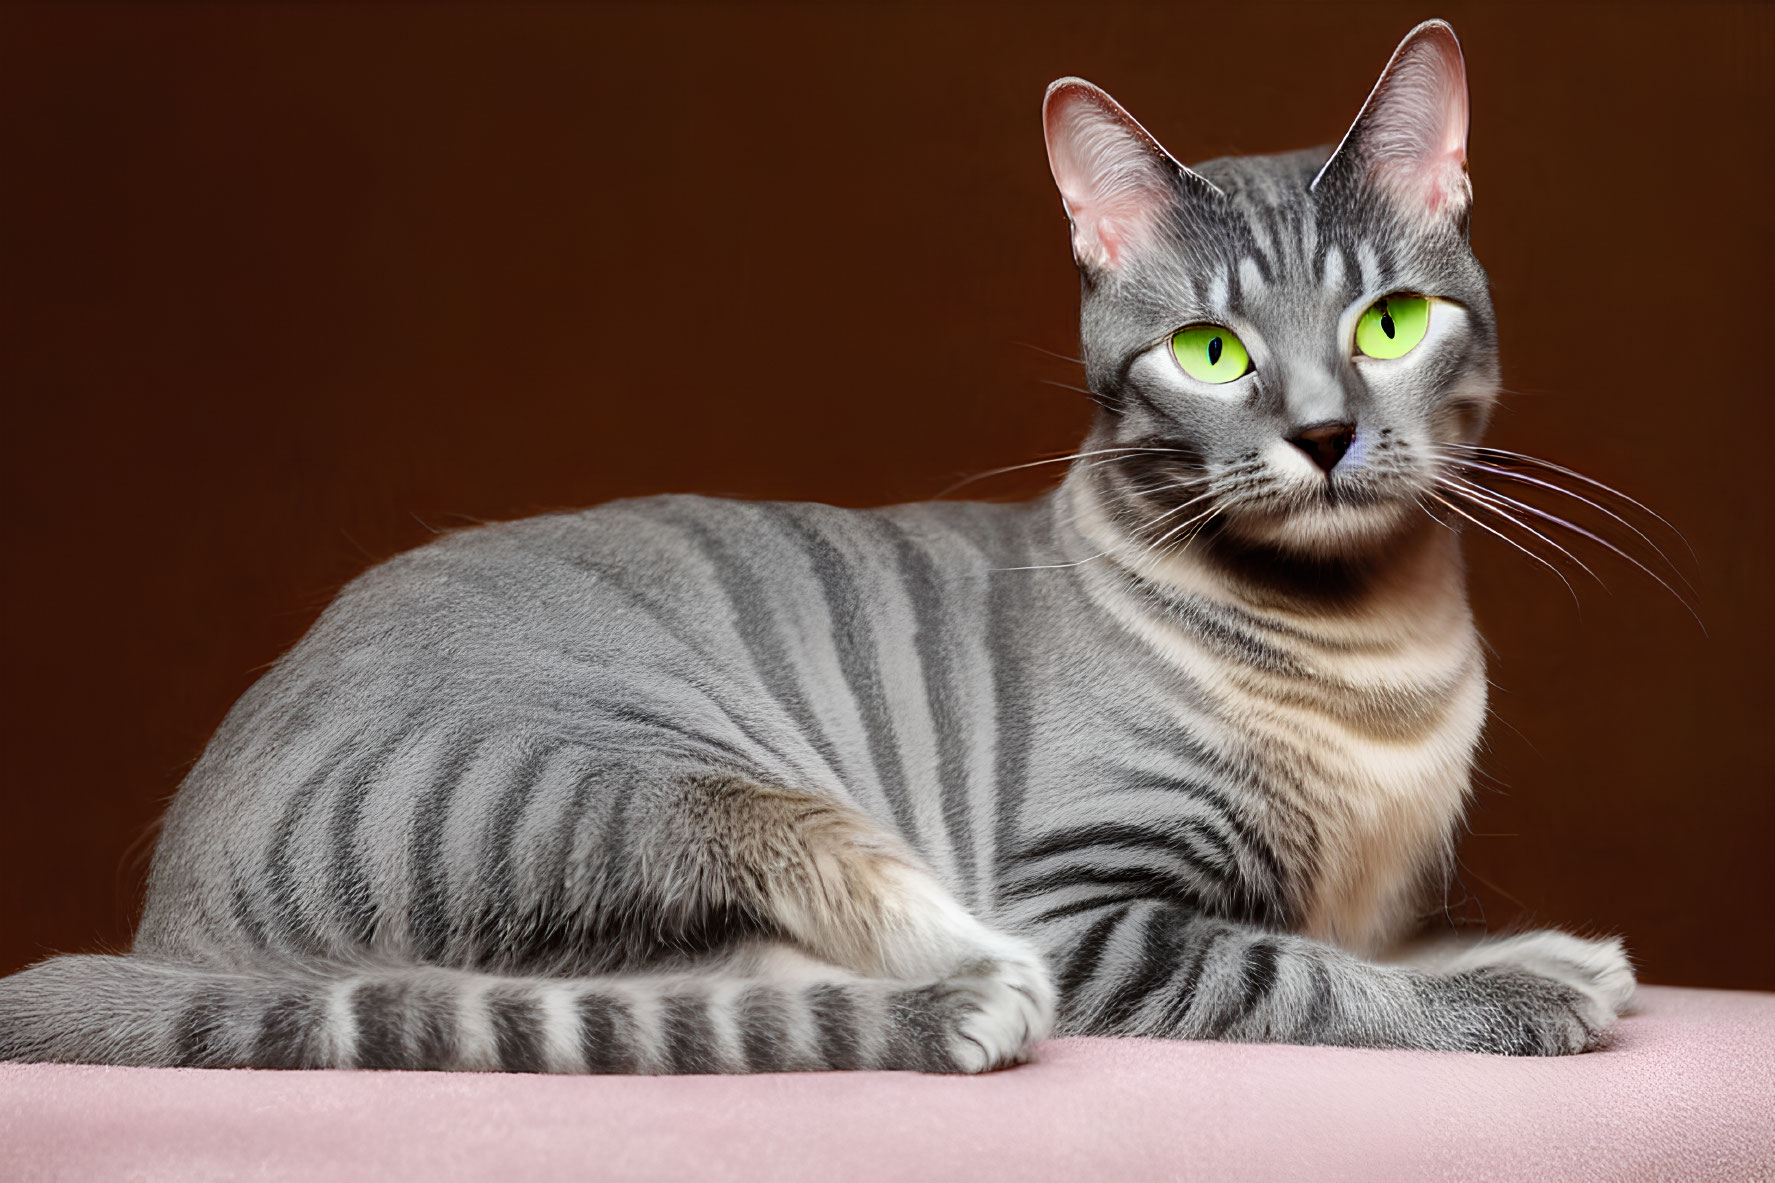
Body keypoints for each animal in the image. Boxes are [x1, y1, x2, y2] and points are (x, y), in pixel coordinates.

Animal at [0, 18, 1633, 1065]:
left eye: (1388, 323)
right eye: (1212, 353)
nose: (1320, 432)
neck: (1373, 650)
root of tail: (170, 913)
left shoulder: (1381, 880)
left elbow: (1388, 935)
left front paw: (1533, 948)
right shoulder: (1086, 903)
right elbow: (1304, 973)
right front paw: (1509, 995)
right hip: (662, 791)